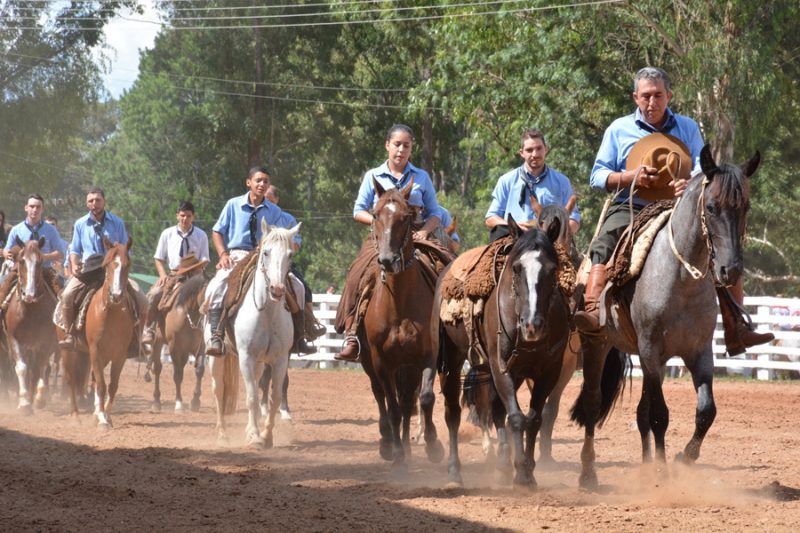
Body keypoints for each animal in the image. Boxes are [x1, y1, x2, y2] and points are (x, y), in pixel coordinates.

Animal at [3, 239, 58, 414]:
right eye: (22, 261)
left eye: (40, 262)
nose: (29, 295)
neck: (30, 310)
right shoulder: (14, 340)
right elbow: (21, 368)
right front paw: (24, 403)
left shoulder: (45, 342)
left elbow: (41, 366)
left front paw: (39, 399)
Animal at [148, 272, 208, 414]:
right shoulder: (174, 348)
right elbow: (177, 375)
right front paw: (179, 404)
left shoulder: (200, 347)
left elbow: (199, 370)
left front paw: (195, 402)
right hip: (158, 343)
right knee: (157, 369)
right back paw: (156, 402)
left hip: (184, 353)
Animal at [208, 218, 298, 446]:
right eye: (265, 252)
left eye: (290, 255)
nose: (277, 289)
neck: (267, 315)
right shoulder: (246, 357)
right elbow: (251, 397)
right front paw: (257, 437)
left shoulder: (279, 359)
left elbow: (273, 398)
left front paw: (266, 435)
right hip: (216, 359)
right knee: (218, 389)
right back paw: (222, 433)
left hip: (259, 363)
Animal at [434, 216, 572, 486]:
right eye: (516, 268)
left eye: (552, 269)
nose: (532, 324)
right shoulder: (502, 368)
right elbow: (516, 417)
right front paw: (522, 473)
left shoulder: (548, 373)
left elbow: (534, 419)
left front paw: (527, 468)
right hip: (451, 360)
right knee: (453, 412)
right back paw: (455, 472)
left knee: (496, 410)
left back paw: (502, 465)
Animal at [572, 143, 760, 488]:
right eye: (711, 206)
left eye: (745, 206)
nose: (730, 270)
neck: (680, 280)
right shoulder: (651, 350)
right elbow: (660, 415)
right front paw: (662, 471)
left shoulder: (699, 352)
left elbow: (705, 411)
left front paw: (681, 459)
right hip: (598, 344)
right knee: (593, 403)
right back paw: (588, 473)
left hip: (649, 363)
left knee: (641, 413)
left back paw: (646, 464)